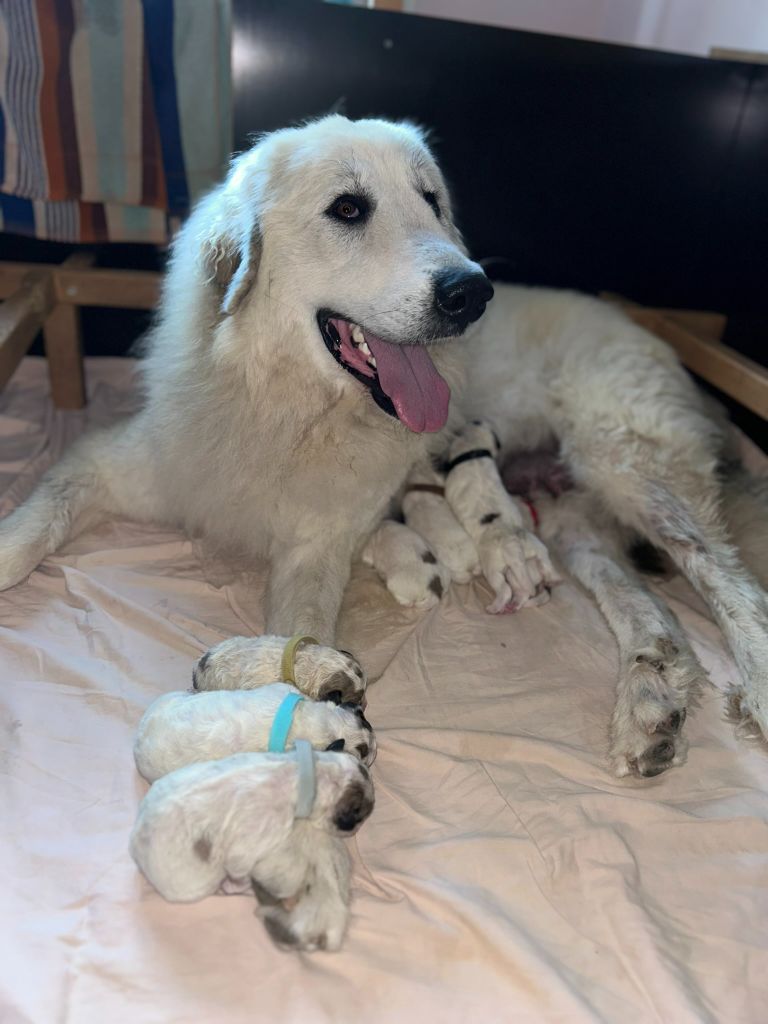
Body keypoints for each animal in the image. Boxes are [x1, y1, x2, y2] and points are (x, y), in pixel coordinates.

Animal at [0, 114, 767, 774]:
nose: (472, 292)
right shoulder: (111, 465)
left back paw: (743, 683)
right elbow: (34, 526)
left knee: (730, 583)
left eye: (431, 199)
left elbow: (293, 637)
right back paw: (652, 708)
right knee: (651, 613)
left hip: (630, 468)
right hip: (574, 519)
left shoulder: (314, 553)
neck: (285, 405)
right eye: (348, 208)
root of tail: (652, 334)